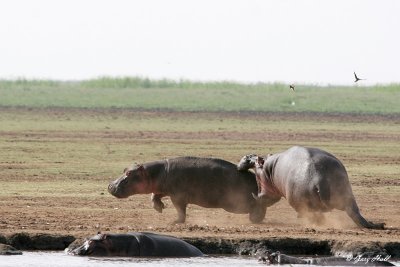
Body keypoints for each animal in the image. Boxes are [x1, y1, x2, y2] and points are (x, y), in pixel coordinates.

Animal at [108, 157, 268, 224]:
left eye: (129, 173)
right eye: (125, 170)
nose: (110, 185)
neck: (158, 172)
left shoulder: (177, 196)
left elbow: (180, 210)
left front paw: (175, 221)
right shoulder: (164, 188)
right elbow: (155, 195)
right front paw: (159, 208)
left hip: (236, 203)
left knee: (258, 206)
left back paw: (255, 219)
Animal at [238, 147, 384, 230]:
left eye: (257, 160)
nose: (247, 156)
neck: (269, 168)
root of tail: (319, 176)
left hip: (298, 200)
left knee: (314, 216)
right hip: (346, 193)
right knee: (354, 212)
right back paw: (377, 225)